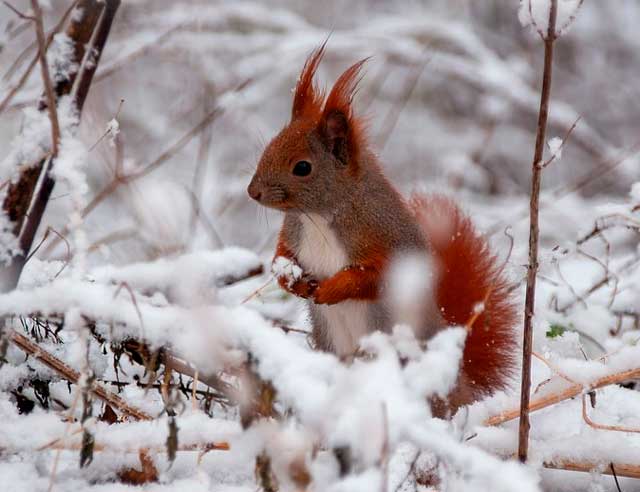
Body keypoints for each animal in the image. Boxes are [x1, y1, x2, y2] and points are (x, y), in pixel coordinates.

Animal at [248, 44, 516, 410]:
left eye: (302, 167)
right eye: (268, 147)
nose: (252, 192)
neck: (320, 216)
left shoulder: (388, 240)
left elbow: (374, 277)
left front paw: (333, 288)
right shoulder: (293, 233)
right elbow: (281, 256)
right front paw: (291, 281)